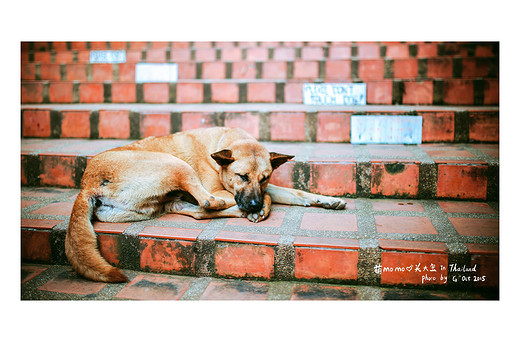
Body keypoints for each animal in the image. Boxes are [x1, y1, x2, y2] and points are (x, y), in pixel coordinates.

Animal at [67, 127, 348, 282]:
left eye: (264, 177)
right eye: (242, 176)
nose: (253, 204)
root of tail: (87, 184)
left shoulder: (264, 189)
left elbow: (294, 193)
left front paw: (327, 200)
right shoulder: (223, 189)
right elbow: (262, 197)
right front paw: (260, 210)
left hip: (160, 204)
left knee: (199, 212)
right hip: (177, 165)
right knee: (208, 202)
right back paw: (242, 210)